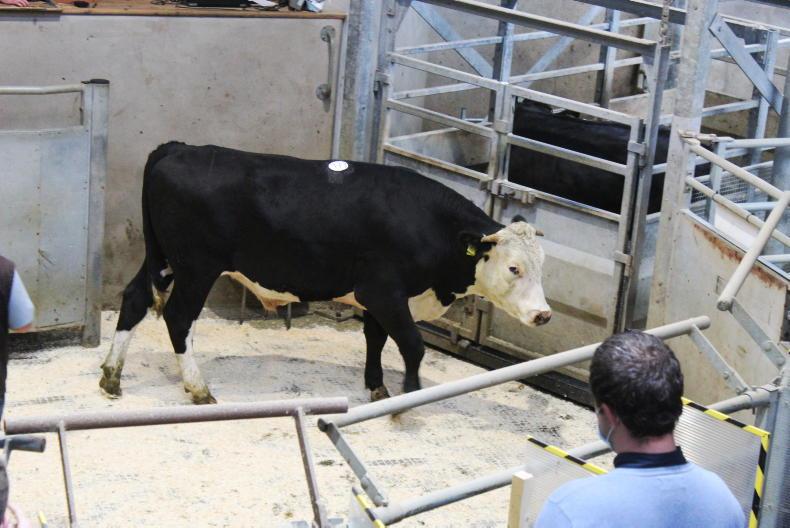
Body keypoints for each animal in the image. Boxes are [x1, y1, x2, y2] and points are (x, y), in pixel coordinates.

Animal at [99, 142, 551, 404]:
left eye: (541, 265)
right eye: (514, 267)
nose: (544, 315)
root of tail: (178, 147)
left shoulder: (376, 298)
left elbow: (375, 339)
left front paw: (377, 387)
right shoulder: (384, 293)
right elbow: (412, 345)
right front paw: (407, 397)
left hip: (162, 259)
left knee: (135, 299)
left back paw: (111, 376)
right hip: (197, 267)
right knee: (178, 317)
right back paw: (198, 388)